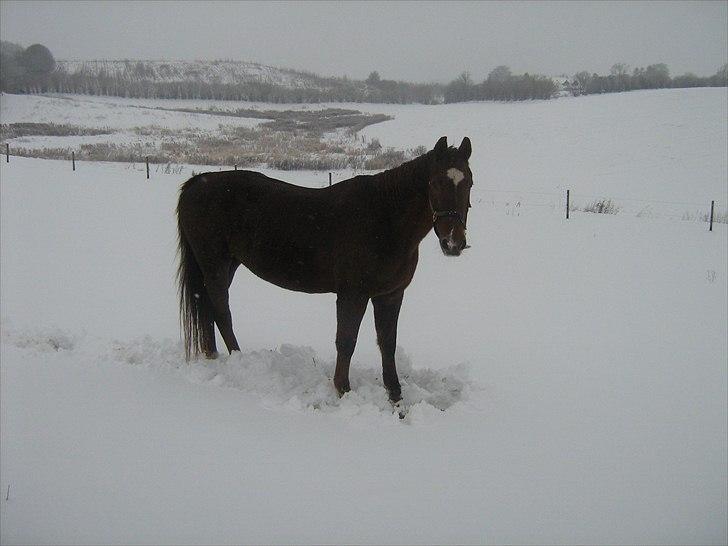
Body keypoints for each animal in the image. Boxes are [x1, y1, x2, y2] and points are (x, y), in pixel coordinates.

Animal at [176, 136, 472, 400]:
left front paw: (395, 395)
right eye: (435, 182)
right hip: (214, 264)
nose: (453, 242)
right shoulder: (353, 295)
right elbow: (346, 341)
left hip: (228, 265)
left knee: (209, 307)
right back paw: (234, 359)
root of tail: (196, 183)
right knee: (221, 311)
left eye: (469, 182)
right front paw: (343, 390)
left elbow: (388, 343)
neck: (383, 219)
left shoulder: (390, 295)